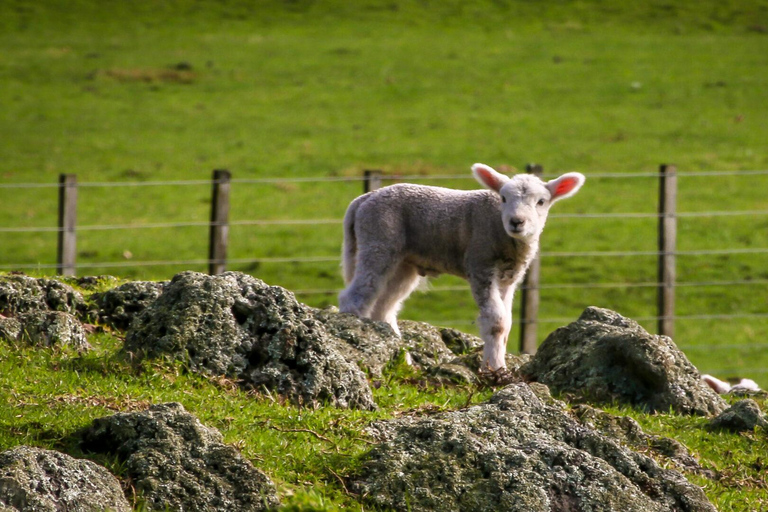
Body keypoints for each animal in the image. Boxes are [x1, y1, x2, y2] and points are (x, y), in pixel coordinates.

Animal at [340, 162, 584, 370]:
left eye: (541, 202)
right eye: (504, 198)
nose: (516, 222)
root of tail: (363, 199)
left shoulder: (509, 278)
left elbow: (507, 323)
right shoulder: (480, 264)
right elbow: (496, 322)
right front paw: (495, 369)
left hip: (404, 264)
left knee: (384, 308)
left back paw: (403, 360)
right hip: (378, 241)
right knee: (355, 297)